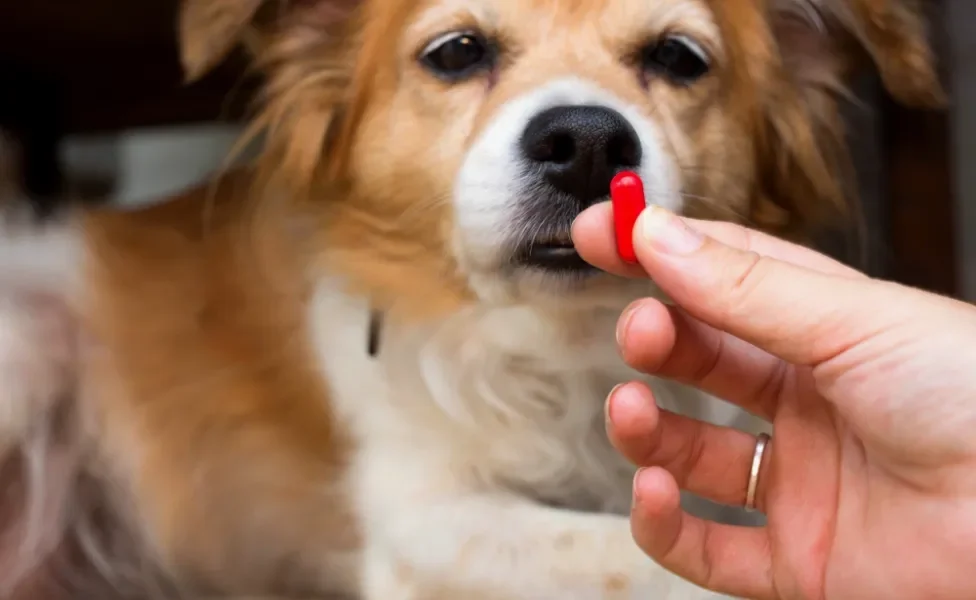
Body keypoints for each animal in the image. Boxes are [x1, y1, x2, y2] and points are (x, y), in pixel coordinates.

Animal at [1, 0, 944, 596]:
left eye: (678, 57)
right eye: (456, 52)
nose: (586, 141)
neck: (562, 345)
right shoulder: (421, 522)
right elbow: (629, 557)